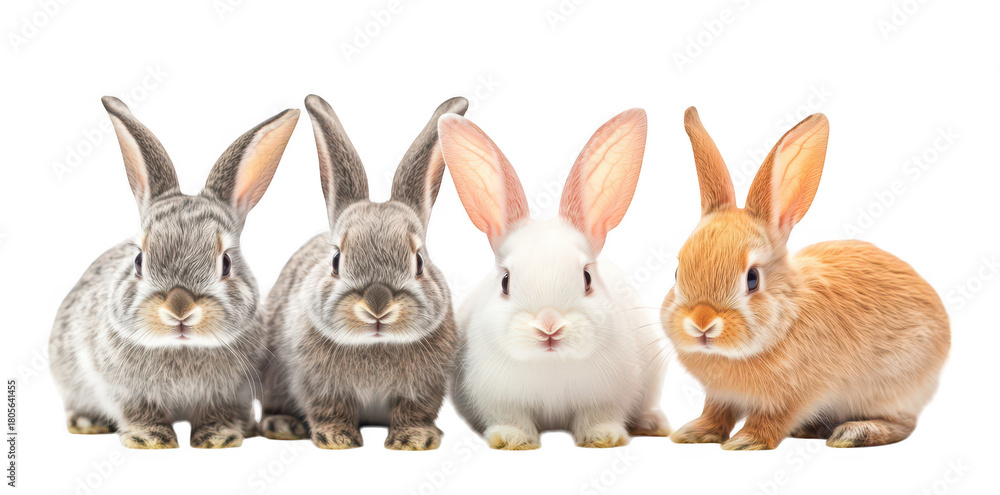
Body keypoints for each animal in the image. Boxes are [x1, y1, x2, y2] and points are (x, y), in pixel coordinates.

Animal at [48, 96, 300, 449]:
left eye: (226, 263)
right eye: (139, 260)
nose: (179, 309)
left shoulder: (230, 394)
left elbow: (217, 414)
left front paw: (218, 439)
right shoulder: (128, 393)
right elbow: (142, 414)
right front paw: (153, 440)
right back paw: (87, 423)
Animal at [258, 94, 466, 450]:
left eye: (419, 262)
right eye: (336, 260)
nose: (377, 306)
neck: (375, 345)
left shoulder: (423, 387)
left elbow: (413, 411)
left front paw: (414, 440)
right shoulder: (318, 383)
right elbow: (331, 408)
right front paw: (337, 438)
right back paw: (282, 426)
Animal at [437, 108, 671, 450]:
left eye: (587, 278)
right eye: (505, 281)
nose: (549, 326)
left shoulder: (605, 399)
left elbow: (597, 417)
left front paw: (603, 437)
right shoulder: (500, 401)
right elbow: (512, 419)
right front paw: (513, 440)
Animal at [662, 107, 951, 450]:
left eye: (752, 278)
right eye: (677, 272)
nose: (702, 323)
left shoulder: (797, 395)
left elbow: (773, 418)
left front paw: (746, 441)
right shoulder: (721, 396)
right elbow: (716, 413)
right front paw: (693, 433)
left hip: (895, 389)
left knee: (904, 424)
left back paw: (854, 432)